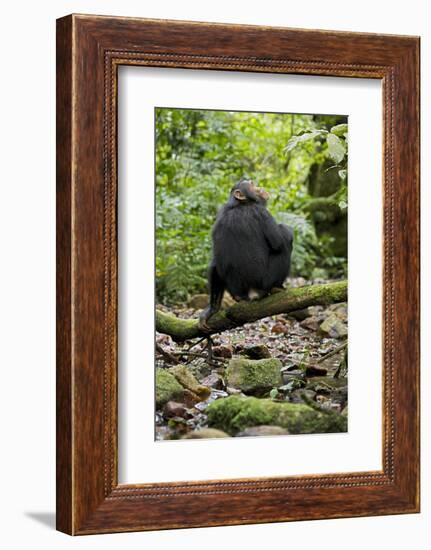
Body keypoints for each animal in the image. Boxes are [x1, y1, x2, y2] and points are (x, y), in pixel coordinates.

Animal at [199, 179, 294, 330]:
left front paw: (211, 309)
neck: (240, 204)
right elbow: (279, 242)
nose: (259, 187)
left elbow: (214, 260)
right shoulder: (262, 212)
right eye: (251, 184)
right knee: (284, 244)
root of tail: (248, 294)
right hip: (265, 283)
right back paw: (277, 288)